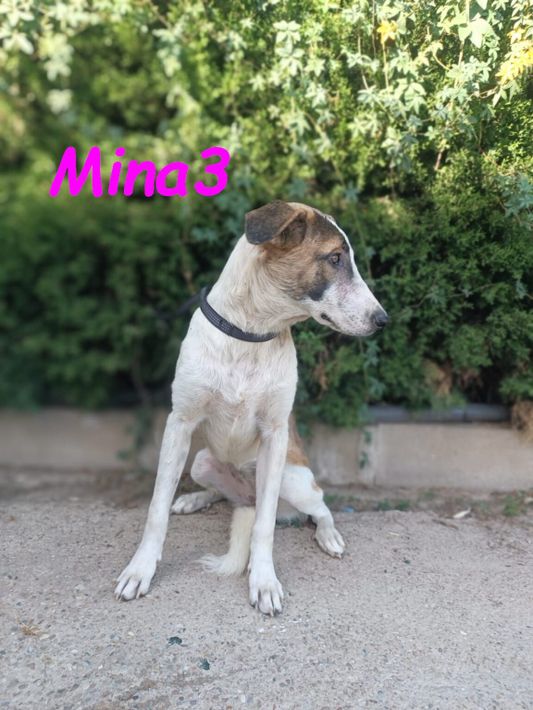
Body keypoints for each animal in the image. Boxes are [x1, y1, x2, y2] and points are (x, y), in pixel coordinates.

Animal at [115, 200, 387, 615]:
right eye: (335, 258)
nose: (383, 320)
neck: (251, 333)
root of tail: (247, 497)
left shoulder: (275, 434)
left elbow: (265, 526)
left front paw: (264, 582)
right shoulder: (180, 423)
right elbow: (156, 510)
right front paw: (140, 569)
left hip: (293, 478)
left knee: (317, 506)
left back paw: (328, 535)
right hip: (202, 461)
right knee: (222, 493)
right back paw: (194, 499)